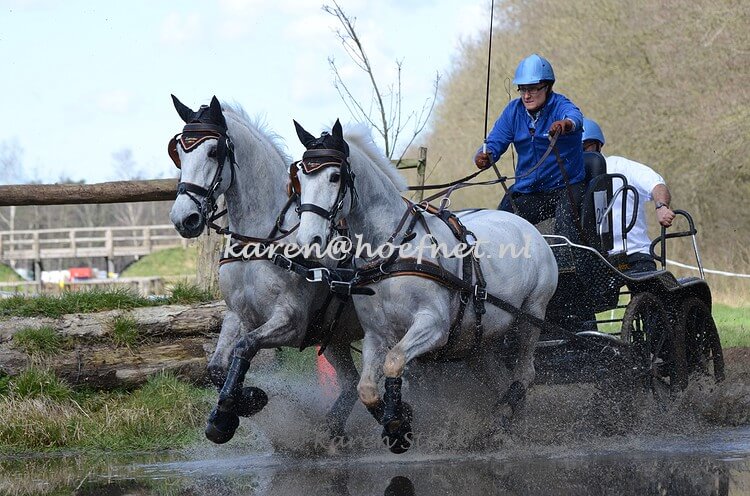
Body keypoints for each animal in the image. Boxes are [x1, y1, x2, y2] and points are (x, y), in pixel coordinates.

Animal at [168, 96, 363, 445]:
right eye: (179, 152)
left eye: (214, 151)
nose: (184, 218)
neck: (262, 241)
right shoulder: (239, 315)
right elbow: (217, 366)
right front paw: (238, 406)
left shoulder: (291, 322)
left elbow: (244, 348)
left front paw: (233, 410)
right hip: (335, 337)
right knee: (352, 383)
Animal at [292, 119, 559, 453]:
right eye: (300, 178)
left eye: (334, 176)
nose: (308, 240)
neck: (391, 253)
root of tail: (530, 228)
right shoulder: (376, 334)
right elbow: (366, 387)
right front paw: (398, 420)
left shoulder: (433, 325)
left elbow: (394, 362)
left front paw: (397, 422)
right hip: (478, 342)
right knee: (501, 378)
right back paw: (506, 425)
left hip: (531, 315)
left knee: (525, 373)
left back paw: (504, 416)